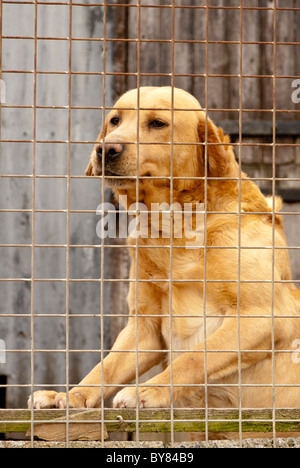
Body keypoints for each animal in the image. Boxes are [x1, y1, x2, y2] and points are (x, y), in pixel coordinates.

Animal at [29, 88, 300, 416]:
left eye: (158, 123)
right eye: (115, 120)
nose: (105, 149)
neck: (174, 226)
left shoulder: (262, 315)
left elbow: (195, 357)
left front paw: (151, 389)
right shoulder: (145, 327)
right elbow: (106, 367)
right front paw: (72, 395)